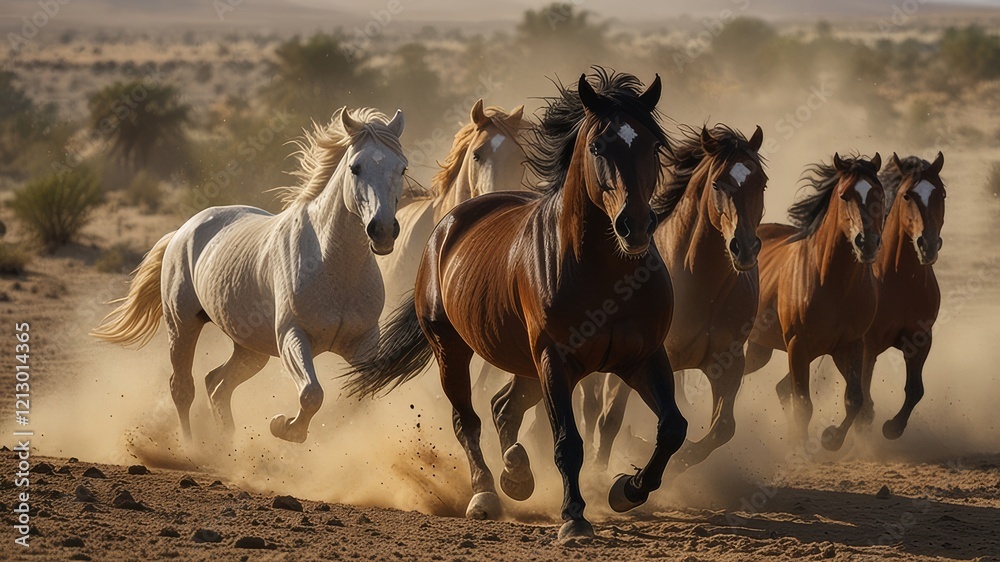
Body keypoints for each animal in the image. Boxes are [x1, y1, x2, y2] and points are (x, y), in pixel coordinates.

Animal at [91, 107, 408, 444]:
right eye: (355, 167)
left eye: (402, 168)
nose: (382, 230)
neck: (333, 266)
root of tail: (182, 231)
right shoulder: (292, 336)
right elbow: (311, 393)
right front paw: (285, 427)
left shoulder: (364, 344)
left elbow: (360, 398)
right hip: (182, 325)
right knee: (183, 388)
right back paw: (190, 447)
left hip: (250, 349)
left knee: (216, 384)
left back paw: (227, 445)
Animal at [581, 123, 767, 472]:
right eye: (717, 184)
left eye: (760, 182)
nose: (745, 248)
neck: (699, 284)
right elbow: (609, 420)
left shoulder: (729, 361)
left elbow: (722, 427)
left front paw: (678, 461)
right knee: (595, 408)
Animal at [744, 152, 884, 452]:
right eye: (845, 195)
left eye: (878, 193)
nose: (867, 243)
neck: (832, 282)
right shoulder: (798, 347)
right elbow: (803, 405)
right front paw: (800, 448)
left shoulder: (849, 346)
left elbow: (855, 399)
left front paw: (831, 438)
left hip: (760, 348)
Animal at [858, 152, 945, 439]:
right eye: (907, 195)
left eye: (941, 193)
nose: (928, 245)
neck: (899, 282)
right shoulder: (868, 344)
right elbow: (863, 391)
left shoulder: (920, 339)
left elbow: (916, 390)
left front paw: (892, 427)